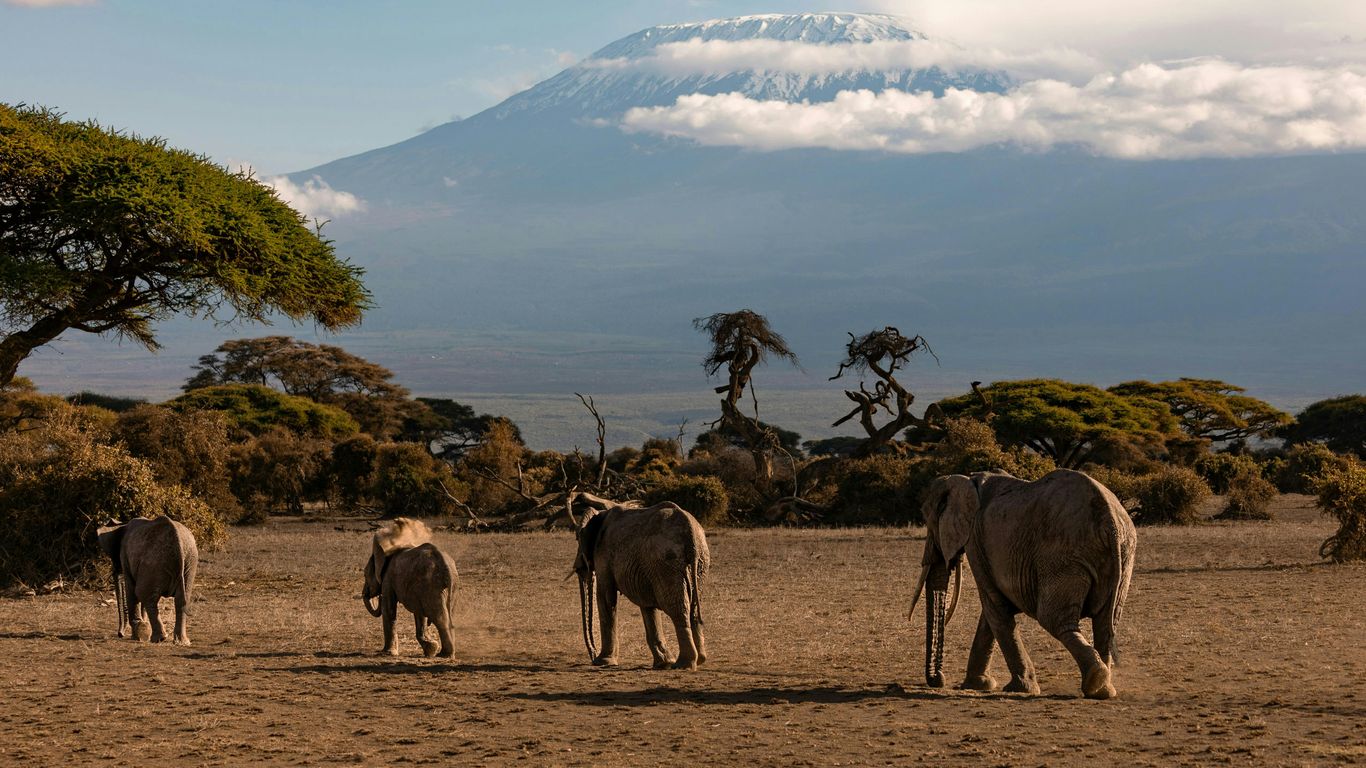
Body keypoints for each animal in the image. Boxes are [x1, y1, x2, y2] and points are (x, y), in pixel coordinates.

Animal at [97, 516, 198, 645]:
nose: (120, 634)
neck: (123, 524)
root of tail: (178, 542)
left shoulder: (125, 554)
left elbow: (131, 589)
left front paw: (137, 635)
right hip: (190, 561)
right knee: (180, 599)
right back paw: (182, 642)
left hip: (154, 562)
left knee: (143, 594)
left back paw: (158, 639)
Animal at [361, 518, 458, 658]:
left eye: (364, 574)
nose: (377, 596)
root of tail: (446, 566)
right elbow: (419, 613)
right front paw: (431, 649)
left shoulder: (388, 578)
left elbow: (389, 609)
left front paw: (387, 653)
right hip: (448, 587)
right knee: (449, 616)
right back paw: (444, 653)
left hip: (433, 585)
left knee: (441, 618)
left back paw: (444, 655)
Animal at [573, 502, 709, 670]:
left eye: (577, 538)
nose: (592, 656)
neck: (600, 514)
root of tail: (690, 532)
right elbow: (646, 604)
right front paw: (663, 663)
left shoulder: (603, 554)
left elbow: (605, 597)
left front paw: (603, 662)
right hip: (699, 563)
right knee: (693, 608)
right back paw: (699, 660)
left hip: (666, 562)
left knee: (677, 609)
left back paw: (683, 665)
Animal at [909, 469, 1136, 699]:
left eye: (930, 522)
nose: (938, 680)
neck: (966, 480)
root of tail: (1110, 522)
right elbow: (991, 612)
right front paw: (979, 685)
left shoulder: (975, 541)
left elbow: (994, 607)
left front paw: (1020, 688)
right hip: (1123, 555)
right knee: (1106, 623)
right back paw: (1103, 689)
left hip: (1062, 557)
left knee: (1054, 619)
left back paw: (1095, 680)